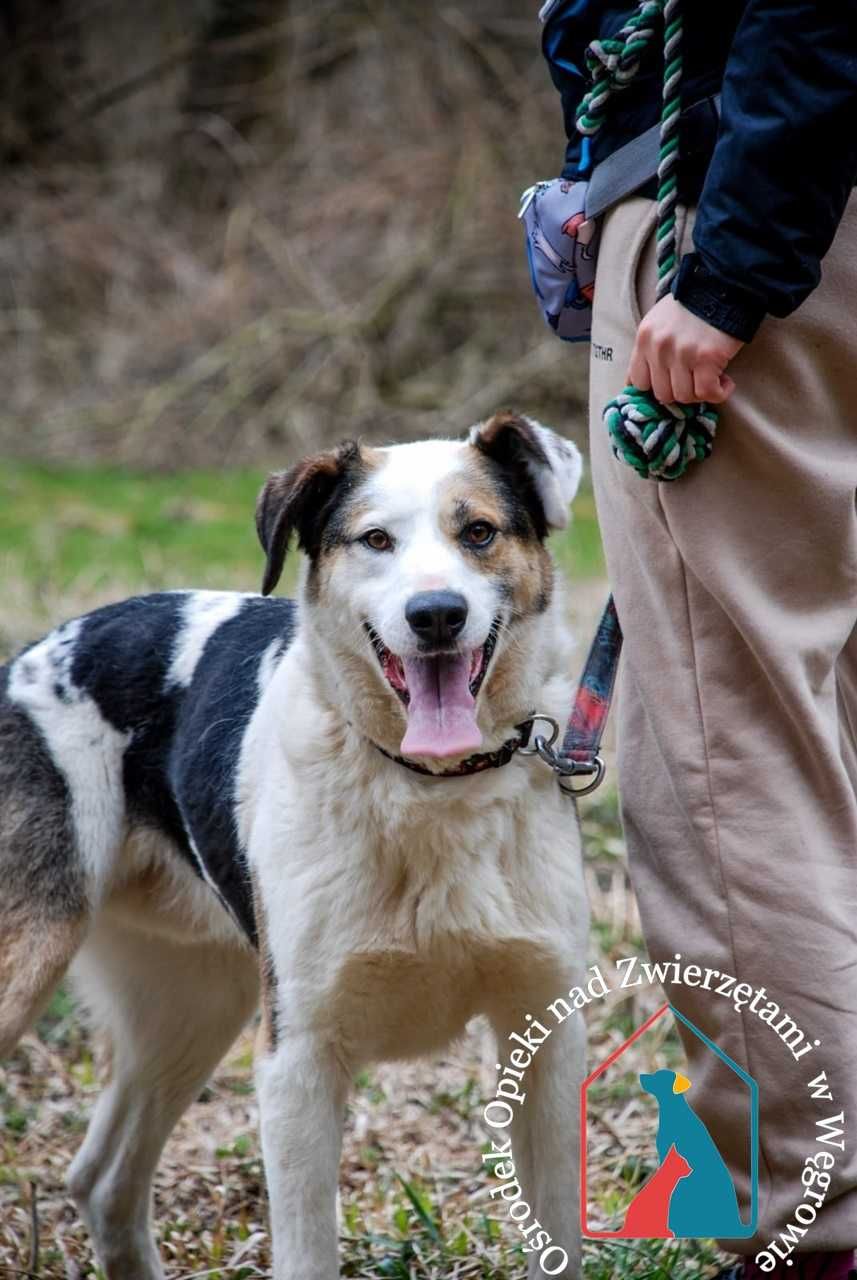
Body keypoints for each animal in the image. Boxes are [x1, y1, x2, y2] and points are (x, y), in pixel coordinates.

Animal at [0, 412, 590, 1280]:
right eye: (375, 539)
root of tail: (32, 656)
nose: (436, 614)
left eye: (478, 532)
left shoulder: (542, 1034)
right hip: (35, 959)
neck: (430, 786)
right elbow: (307, 1251)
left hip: (194, 1002)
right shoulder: (298, 1060)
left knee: (101, 1179)